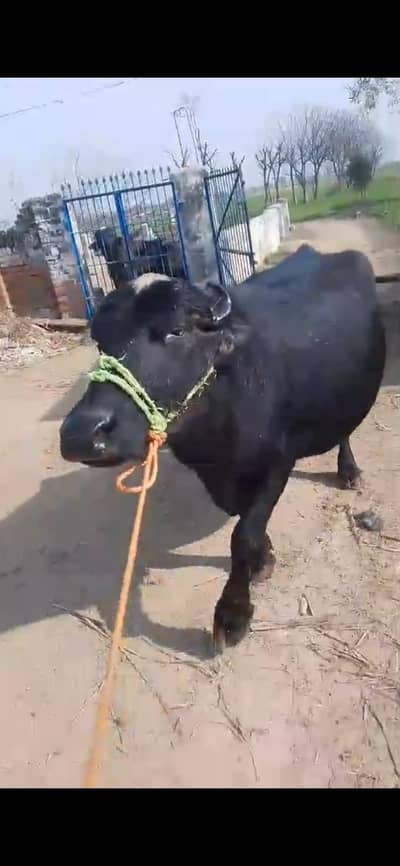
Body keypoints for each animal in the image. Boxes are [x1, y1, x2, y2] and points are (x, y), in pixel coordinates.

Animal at [60, 244, 386, 652]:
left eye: (176, 331)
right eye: (102, 343)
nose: (81, 434)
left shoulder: (278, 461)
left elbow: (242, 535)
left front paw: (234, 613)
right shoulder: (214, 475)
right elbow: (243, 518)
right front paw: (264, 557)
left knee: (343, 432)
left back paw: (348, 470)